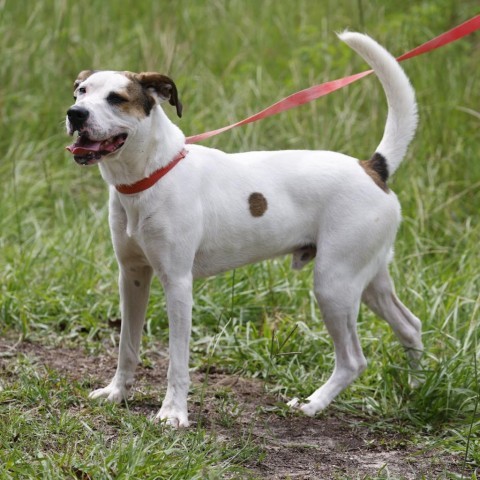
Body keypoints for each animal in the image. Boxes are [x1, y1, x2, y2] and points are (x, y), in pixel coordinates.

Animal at [64, 32, 424, 428]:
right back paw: (416, 389)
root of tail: (373, 167)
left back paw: (312, 404)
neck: (150, 176)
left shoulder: (177, 284)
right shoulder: (132, 277)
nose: (75, 114)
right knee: (410, 326)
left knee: (353, 360)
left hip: (334, 285)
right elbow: (127, 346)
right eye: (80, 91)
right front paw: (117, 392)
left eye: (116, 98)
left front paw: (173, 413)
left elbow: (177, 361)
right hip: (368, 280)